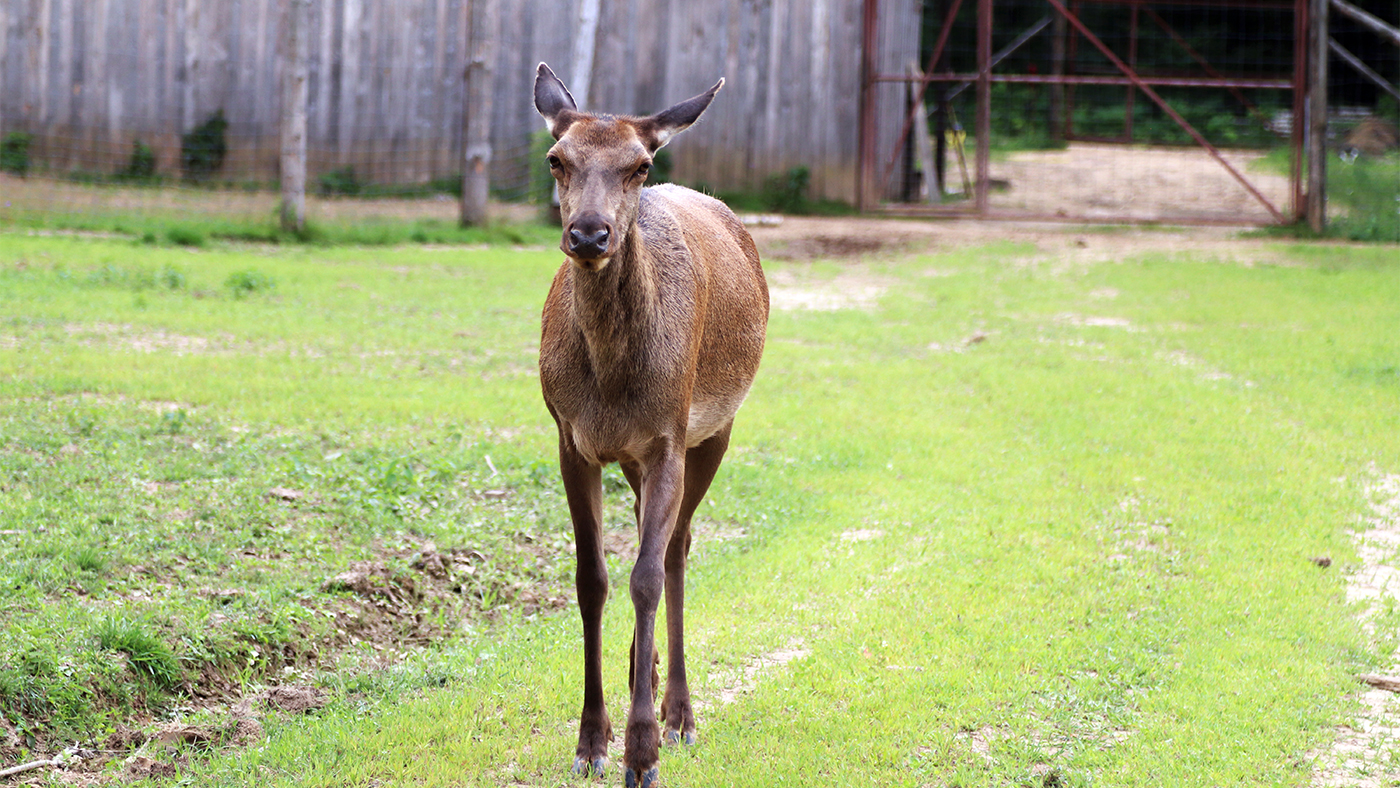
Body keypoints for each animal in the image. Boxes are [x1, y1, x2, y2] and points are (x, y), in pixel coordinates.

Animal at [532, 63, 772, 788]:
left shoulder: (669, 436)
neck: (612, 389)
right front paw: (592, 739)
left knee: (675, 551)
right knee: (655, 541)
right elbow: (593, 579)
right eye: (556, 158)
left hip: (714, 427)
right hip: (639, 458)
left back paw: (679, 713)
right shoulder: (570, 439)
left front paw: (641, 753)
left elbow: (645, 575)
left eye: (639, 165)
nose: (589, 234)